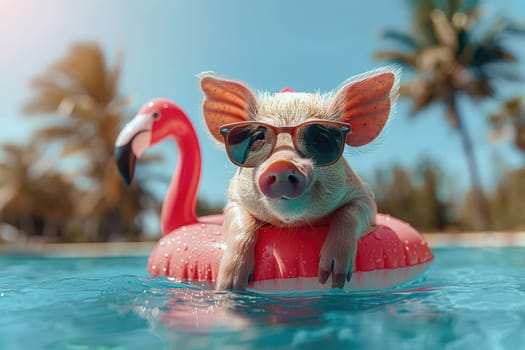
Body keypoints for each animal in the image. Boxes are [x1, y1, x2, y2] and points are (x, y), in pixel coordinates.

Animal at [200, 67, 398, 290]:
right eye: (259, 137)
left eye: (321, 138)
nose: (282, 163)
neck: (292, 224)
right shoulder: (235, 199)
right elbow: (240, 220)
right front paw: (229, 285)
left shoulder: (364, 197)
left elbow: (351, 212)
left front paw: (332, 278)